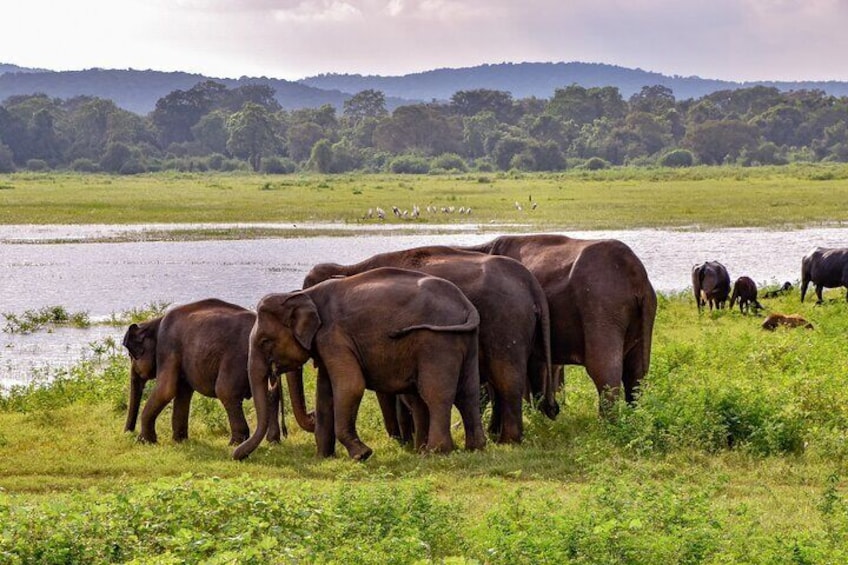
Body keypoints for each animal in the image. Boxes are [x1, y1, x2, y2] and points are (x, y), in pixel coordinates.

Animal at [121, 298, 284, 448]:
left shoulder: (168, 347)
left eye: (130, 355)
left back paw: (235, 443)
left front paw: (144, 441)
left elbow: (165, 390)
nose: (128, 433)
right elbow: (182, 392)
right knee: (271, 394)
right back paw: (273, 441)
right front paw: (180, 441)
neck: (156, 321)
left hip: (238, 358)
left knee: (226, 391)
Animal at [232, 266, 486, 460]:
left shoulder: (333, 336)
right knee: (468, 391)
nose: (237, 456)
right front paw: (324, 457)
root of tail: (467, 305)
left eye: (265, 341)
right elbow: (325, 393)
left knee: (435, 393)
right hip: (466, 340)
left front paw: (362, 454)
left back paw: (435, 452)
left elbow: (350, 386)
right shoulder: (327, 344)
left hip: (437, 342)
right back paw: (474, 449)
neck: (304, 294)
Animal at [298, 247, 564, 446]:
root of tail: (530, 282)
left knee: (506, 380)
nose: (312, 417)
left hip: (506, 322)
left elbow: (389, 391)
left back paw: (508, 440)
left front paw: (403, 441)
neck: (349, 270)